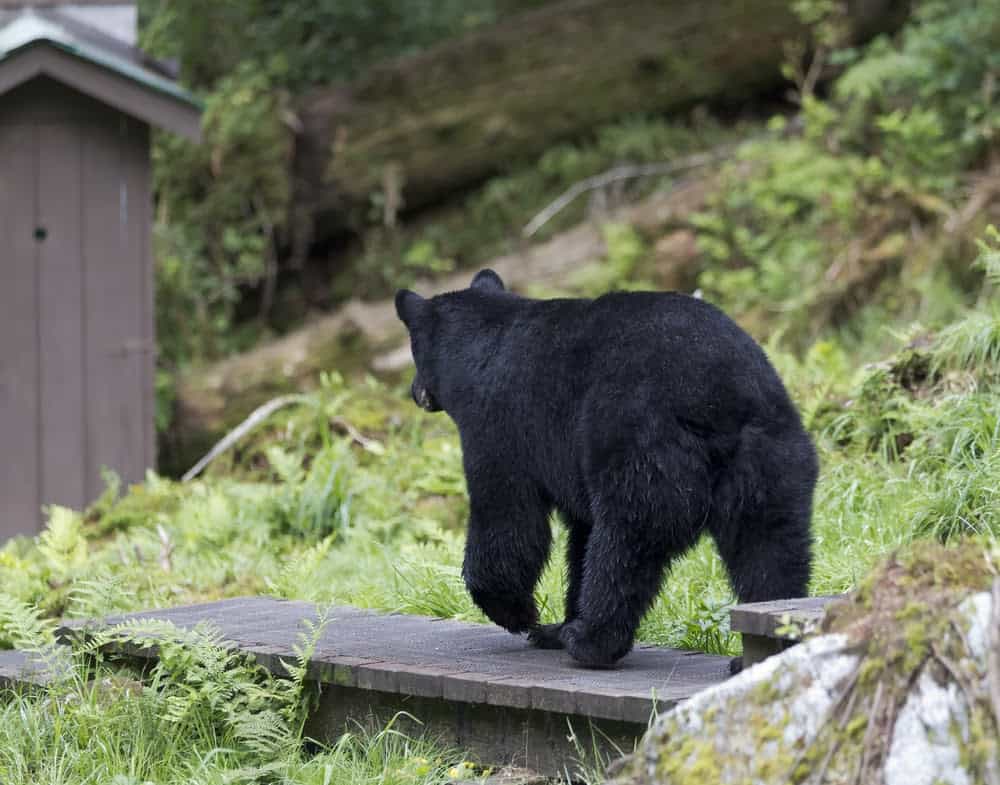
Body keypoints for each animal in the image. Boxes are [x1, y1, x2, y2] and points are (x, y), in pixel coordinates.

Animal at [394, 272, 816, 668]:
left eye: (414, 354)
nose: (415, 392)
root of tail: (716, 400)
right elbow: (579, 534)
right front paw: (554, 625)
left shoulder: (501, 425)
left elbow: (508, 517)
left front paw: (519, 613)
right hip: (770, 459)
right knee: (770, 549)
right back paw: (763, 647)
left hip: (639, 448)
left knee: (623, 546)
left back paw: (591, 641)